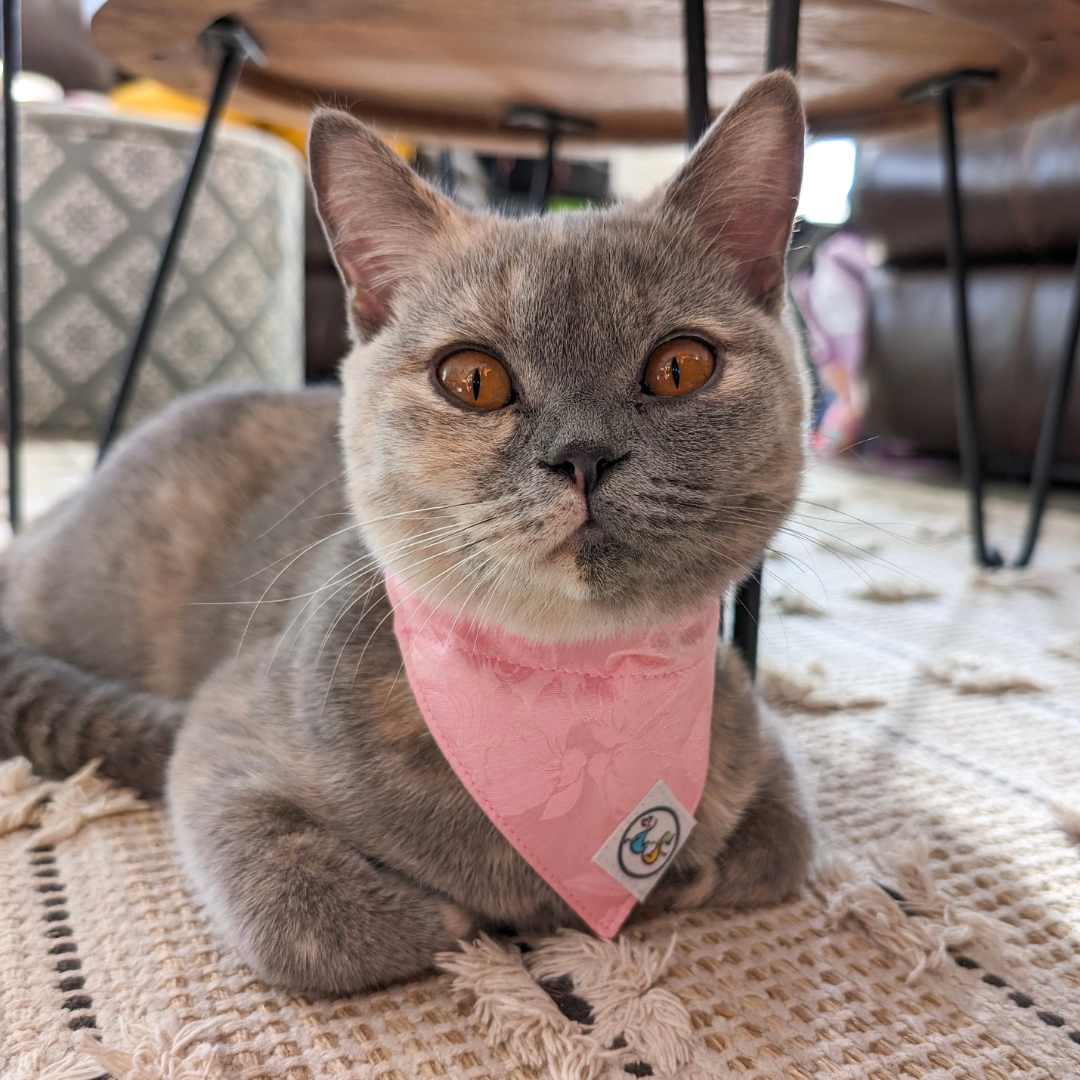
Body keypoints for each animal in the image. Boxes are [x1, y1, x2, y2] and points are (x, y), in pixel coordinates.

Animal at [0, 69, 812, 993]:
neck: (564, 686)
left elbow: (782, 843)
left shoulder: (754, 733)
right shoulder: (219, 738)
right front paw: (472, 922)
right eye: (473, 379)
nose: (583, 455)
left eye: (681, 366)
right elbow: (321, 920)